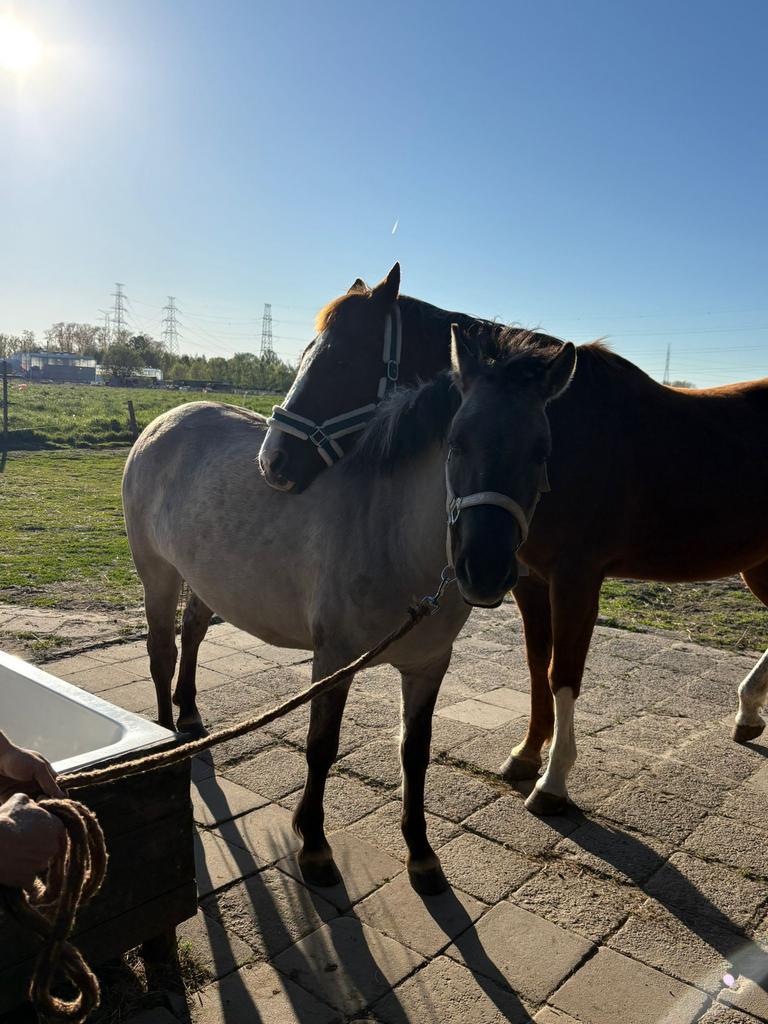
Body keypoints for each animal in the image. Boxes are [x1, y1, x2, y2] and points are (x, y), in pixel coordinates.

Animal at [122, 271, 508, 895]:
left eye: (541, 452)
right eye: (457, 446)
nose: (273, 464)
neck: (393, 525)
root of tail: (164, 419)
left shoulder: (429, 664)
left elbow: (415, 751)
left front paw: (422, 856)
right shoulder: (334, 658)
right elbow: (321, 746)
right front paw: (315, 846)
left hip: (201, 579)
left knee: (193, 631)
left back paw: (190, 715)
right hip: (157, 572)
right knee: (161, 648)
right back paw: (165, 735)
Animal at [261, 287, 768, 818]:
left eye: (341, 360)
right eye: (307, 354)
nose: (273, 462)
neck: (575, 431)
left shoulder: (576, 580)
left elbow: (562, 672)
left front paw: (554, 779)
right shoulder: (527, 579)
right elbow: (536, 664)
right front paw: (527, 754)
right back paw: (749, 709)